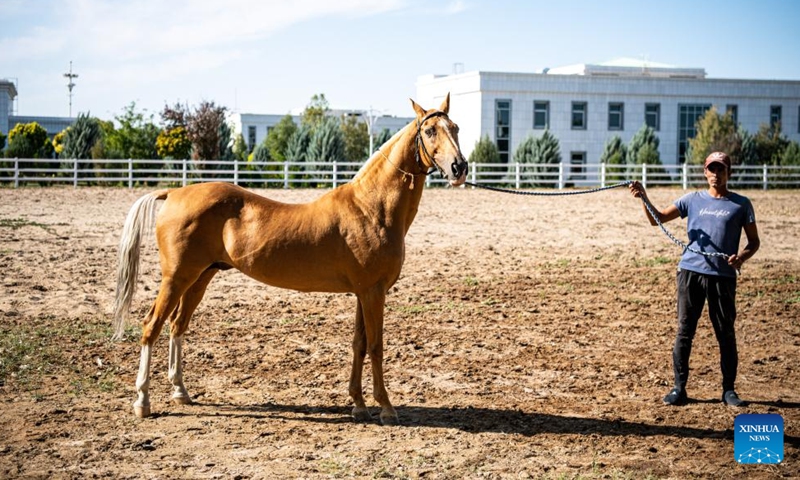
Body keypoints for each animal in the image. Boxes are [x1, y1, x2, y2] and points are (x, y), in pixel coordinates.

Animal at [112, 94, 468, 424]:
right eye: (431, 130)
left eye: (456, 128)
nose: (459, 168)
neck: (371, 208)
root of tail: (173, 193)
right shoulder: (373, 292)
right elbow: (376, 347)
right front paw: (386, 408)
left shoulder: (363, 292)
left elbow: (359, 344)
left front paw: (358, 404)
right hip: (176, 278)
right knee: (152, 326)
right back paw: (142, 401)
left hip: (200, 278)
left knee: (177, 326)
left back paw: (180, 392)